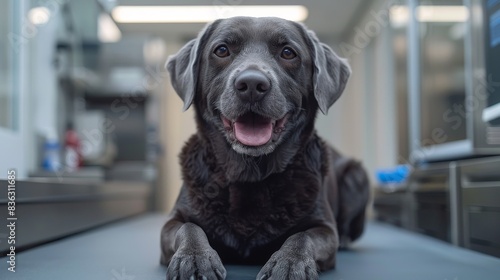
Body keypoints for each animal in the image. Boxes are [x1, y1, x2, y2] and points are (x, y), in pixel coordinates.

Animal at [162, 16, 370, 278]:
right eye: (222, 50)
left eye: (288, 52)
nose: (251, 83)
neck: (250, 176)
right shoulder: (173, 221)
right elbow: (189, 228)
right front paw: (194, 258)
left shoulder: (324, 228)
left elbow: (302, 237)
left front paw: (290, 263)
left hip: (356, 176)